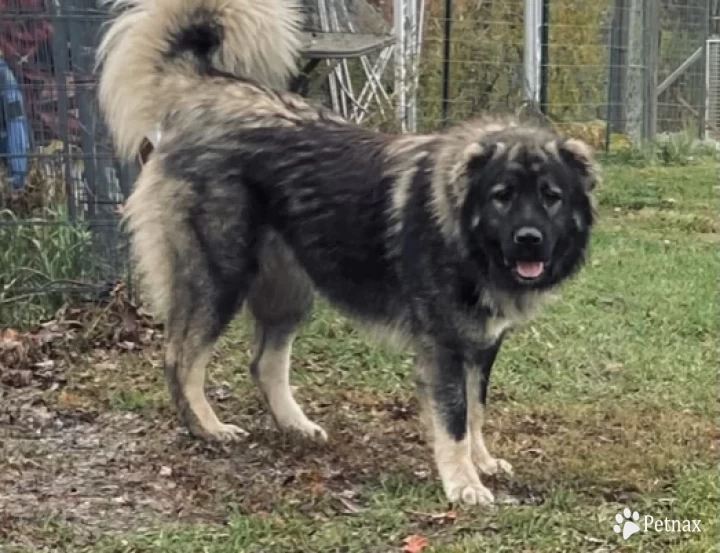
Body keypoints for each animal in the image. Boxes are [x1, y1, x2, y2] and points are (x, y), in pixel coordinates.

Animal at [98, 0, 600, 504]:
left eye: (551, 197)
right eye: (502, 196)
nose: (529, 238)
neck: (461, 229)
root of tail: (203, 86)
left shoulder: (480, 344)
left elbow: (475, 410)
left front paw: (481, 464)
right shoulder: (444, 348)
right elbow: (454, 420)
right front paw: (463, 484)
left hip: (288, 291)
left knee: (264, 363)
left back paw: (295, 426)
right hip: (220, 276)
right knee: (180, 358)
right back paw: (206, 428)